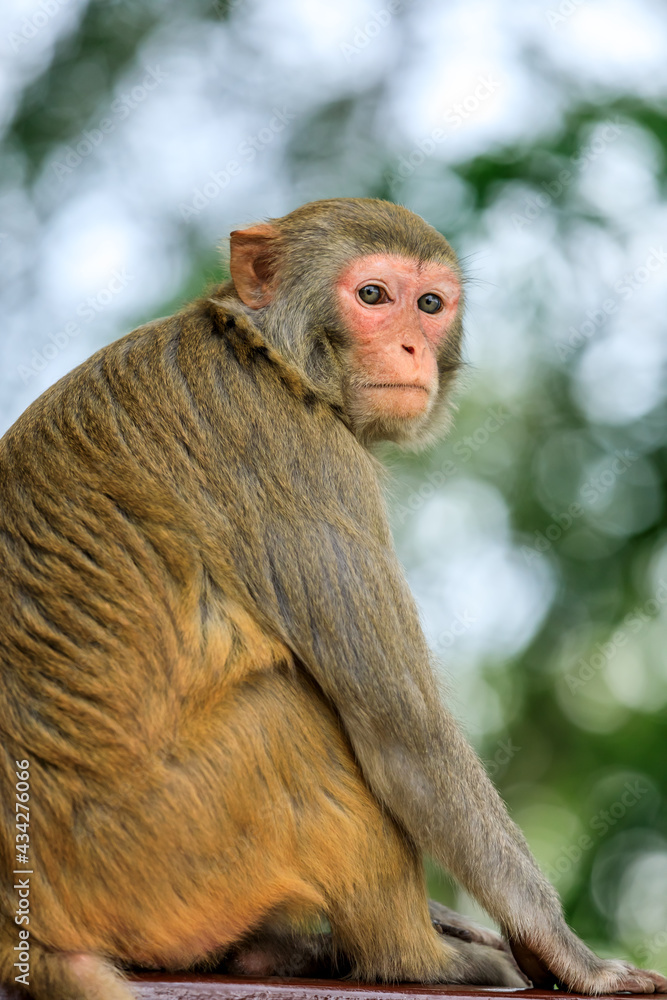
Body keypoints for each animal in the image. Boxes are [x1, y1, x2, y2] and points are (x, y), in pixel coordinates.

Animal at [0, 197, 664, 1000]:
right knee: (292, 715)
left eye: (430, 305)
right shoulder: (304, 457)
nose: (410, 346)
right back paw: (415, 957)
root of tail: (25, 928)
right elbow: (404, 732)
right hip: (153, 853)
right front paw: (569, 955)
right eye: (373, 296)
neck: (270, 358)